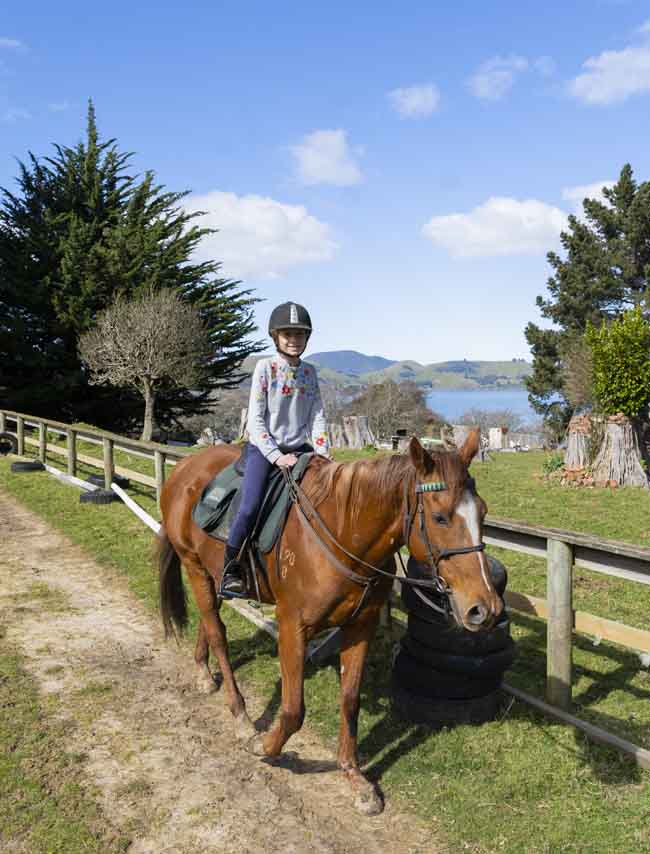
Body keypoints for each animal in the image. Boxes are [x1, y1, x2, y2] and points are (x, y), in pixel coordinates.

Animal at [157, 434, 502, 816]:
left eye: (483, 512)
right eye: (440, 517)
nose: (484, 608)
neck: (343, 534)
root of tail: (186, 467)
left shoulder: (360, 627)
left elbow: (349, 701)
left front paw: (354, 777)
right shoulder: (292, 626)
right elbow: (293, 710)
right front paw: (265, 747)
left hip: (210, 572)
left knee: (209, 623)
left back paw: (203, 673)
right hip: (193, 565)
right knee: (217, 632)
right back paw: (241, 717)